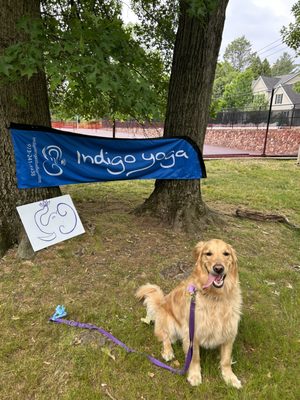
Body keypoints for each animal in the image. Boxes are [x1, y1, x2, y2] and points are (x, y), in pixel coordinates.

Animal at [135, 239, 243, 390]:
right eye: (208, 253)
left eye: (226, 254)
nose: (218, 268)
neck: (215, 296)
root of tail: (161, 303)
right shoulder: (192, 333)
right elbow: (195, 358)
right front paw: (194, 375)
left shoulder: (229, 332)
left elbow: (226, 360)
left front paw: (230, 378)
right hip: (169, 322)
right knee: (165, 337)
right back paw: (168, 352)